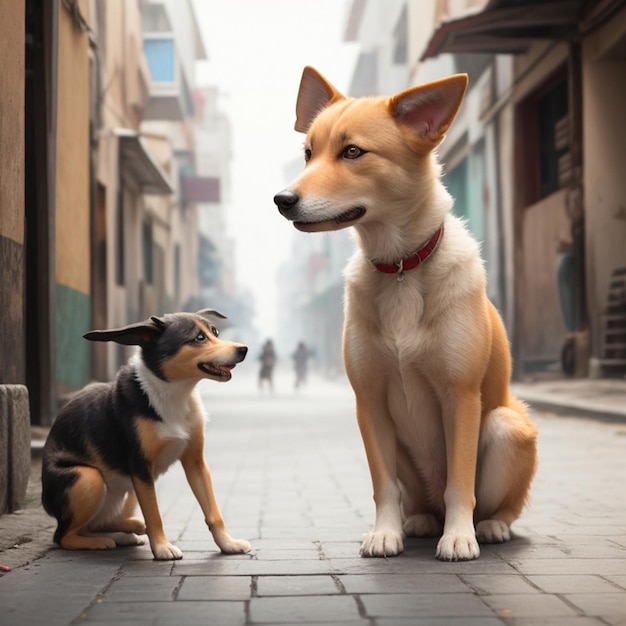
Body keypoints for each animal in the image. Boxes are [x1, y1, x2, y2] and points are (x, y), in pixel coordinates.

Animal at [40, 310, 251, 560]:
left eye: (215, 332)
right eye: (199, 338)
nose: (243, 349)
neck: (173, 392)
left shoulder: (196, 462)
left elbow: (214, 512)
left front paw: (228, 543)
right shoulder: (140, 467)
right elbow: (154, 514)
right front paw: (161, 547)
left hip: (124, 490)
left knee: (97, 524)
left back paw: (124, 533)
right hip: (87, 477)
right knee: (63, 536)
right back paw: (101, 541)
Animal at [272, 68, 536, 560]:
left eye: (352, 152)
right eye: (308, 153)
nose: (282, 199)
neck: (399, 265)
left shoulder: (461, 396)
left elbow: (460, 483)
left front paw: (459, 536)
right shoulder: (369, 401)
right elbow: (383, 485)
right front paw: (385, 532)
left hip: (507, 426)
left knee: (498, 503)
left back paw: (488, 527)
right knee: (418, 500)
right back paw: (419, 521)